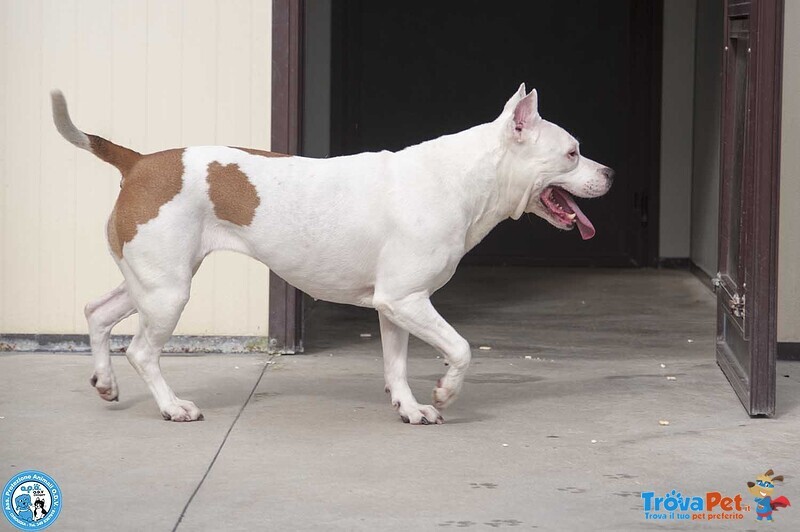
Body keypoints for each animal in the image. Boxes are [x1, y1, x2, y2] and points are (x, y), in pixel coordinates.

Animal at [50, 83, 612, 424]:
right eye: (572, 153)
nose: (610, 173)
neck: (464, 176)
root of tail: (140, 161)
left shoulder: (395, 306)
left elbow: (395, 365)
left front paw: (409, 407)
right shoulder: (408, 301)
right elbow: (461, 349)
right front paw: (445, 394)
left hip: (150, 283)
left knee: (98, 312)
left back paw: (105, 383)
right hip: (168, 293)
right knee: (142, 351)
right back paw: (172, 407)